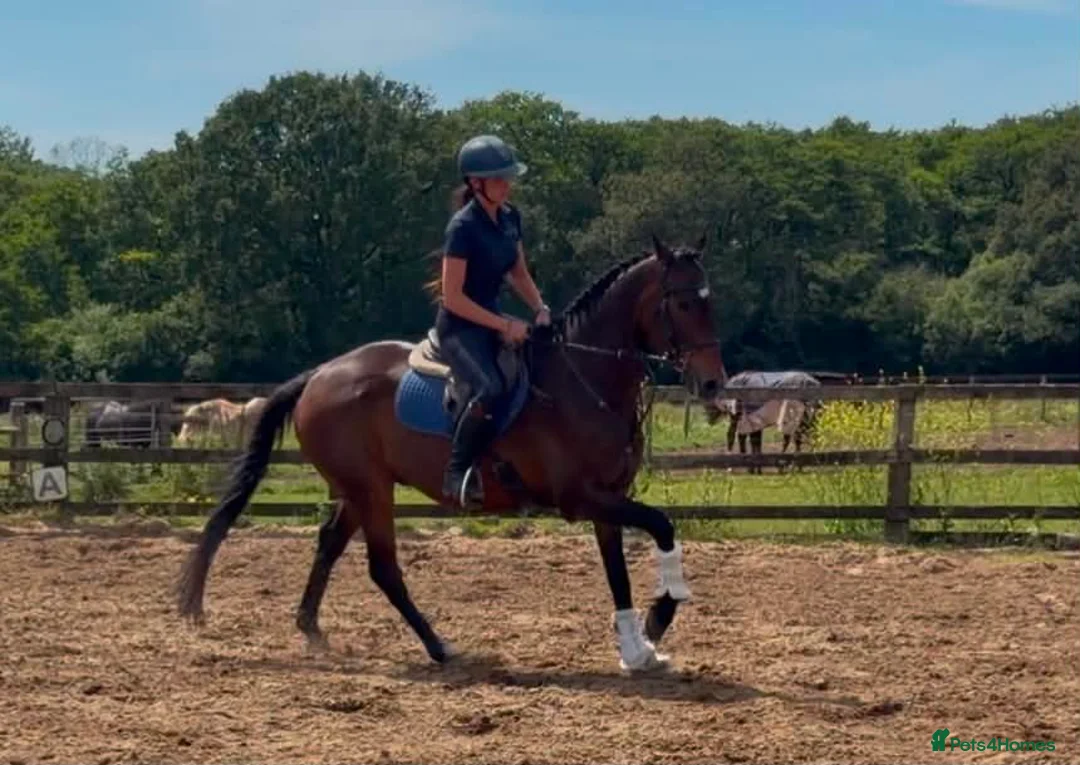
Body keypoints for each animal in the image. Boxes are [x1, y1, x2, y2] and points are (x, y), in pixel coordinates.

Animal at [177, 234, 728, 673]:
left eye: (710, 301)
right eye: (682, 304)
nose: (713, 383)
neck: (585, 380)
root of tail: (319, 375)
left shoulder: (608, 497)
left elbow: (619, 571)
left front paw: (638, 648)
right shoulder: (581, 497)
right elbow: (661, 526)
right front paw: (660, 616)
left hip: (358, 489)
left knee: (329, 544)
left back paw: (312, 630)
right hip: (371, 490)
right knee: (383, 568)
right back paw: (439, 647)